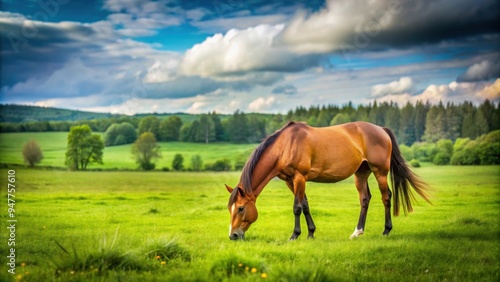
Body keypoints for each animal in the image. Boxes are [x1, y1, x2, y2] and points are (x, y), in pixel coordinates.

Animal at [226, 121, 430, 240]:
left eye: (241, 208)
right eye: (230, 208)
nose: (233, 235)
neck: (285, 145)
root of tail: (381, 129)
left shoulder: (299, 177)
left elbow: (297, 207)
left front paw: (295, 235)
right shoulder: (290, 181)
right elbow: (305, 205)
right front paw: (311, 233)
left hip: (379, 171)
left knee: (386, 197)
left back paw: (386, 230)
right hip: (361, 173)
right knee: (365, 199)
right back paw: (357, 231)